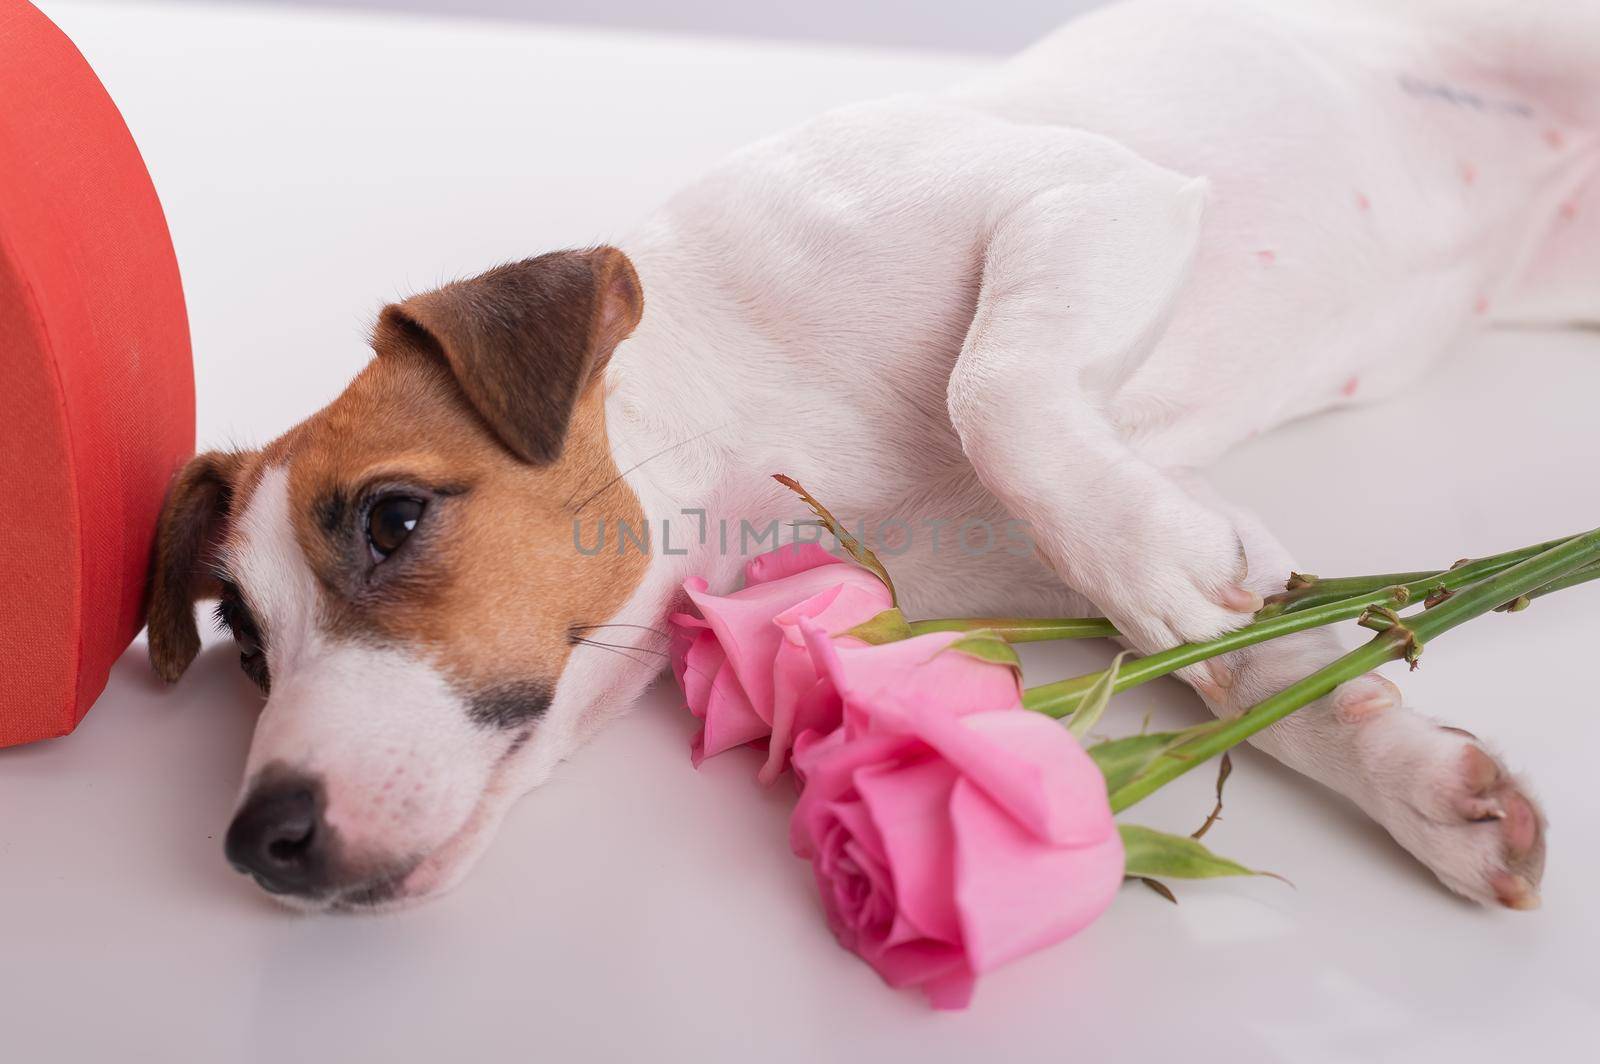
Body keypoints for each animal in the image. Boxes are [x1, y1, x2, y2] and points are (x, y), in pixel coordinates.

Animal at [147, 2, 1587, 915]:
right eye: (249, 645)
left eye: (390, 519)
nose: (258, 842)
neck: (752, 414)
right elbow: (1265, 666)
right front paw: (1416, 780)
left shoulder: (1092, 195)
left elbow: (997, 393)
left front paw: (1165, 560)